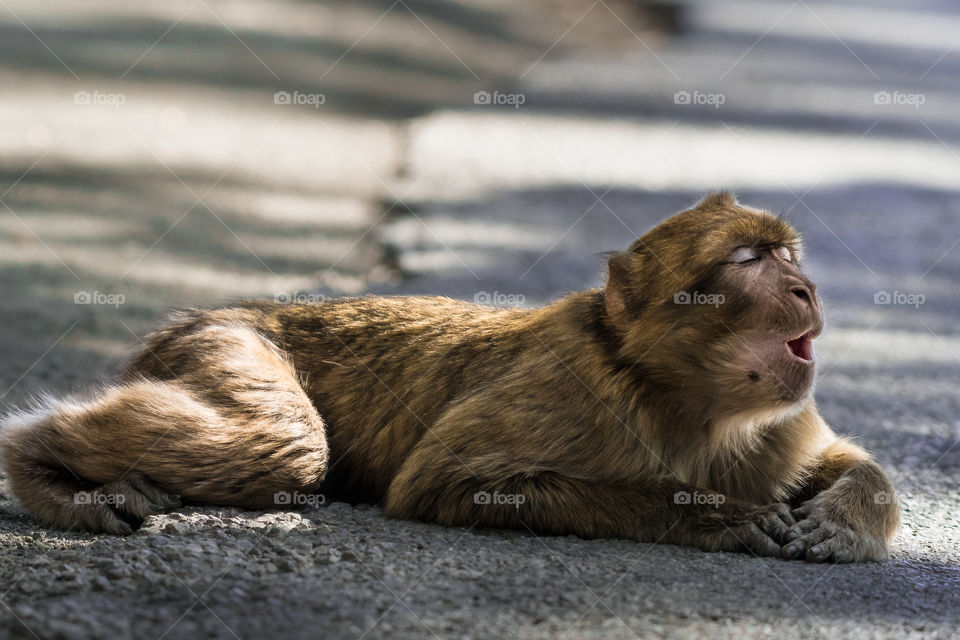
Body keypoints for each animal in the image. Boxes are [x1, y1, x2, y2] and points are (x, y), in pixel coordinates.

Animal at [1, 192, 900, 564]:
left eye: (788, 254)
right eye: (750, 259)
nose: (805, 288)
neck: (683, 397)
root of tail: (198, 317)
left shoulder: (779, 423)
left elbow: (848, 465)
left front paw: (843, 522)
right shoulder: (573, 389)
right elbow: (443, 481)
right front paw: (708, 515)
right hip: (225, 344)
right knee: (286, 449)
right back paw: (40, 465)